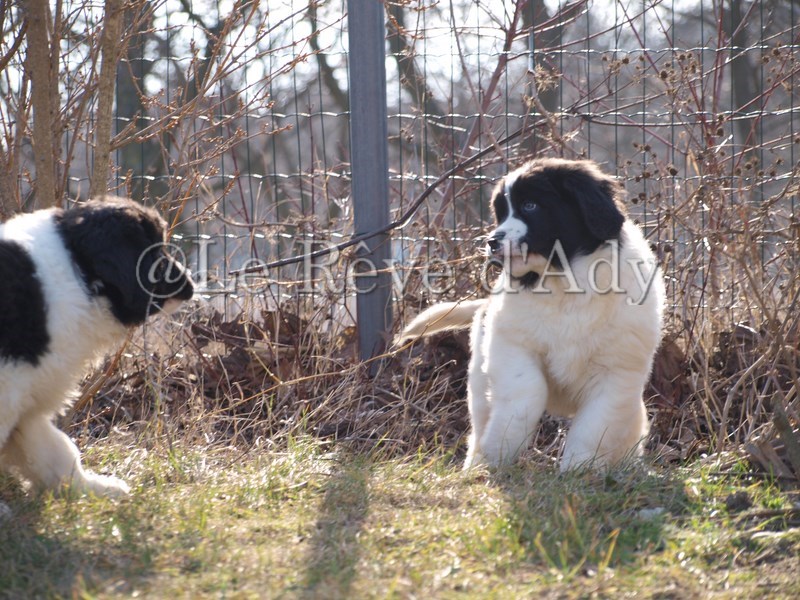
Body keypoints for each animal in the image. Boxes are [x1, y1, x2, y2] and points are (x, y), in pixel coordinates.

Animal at [0, 197, 193, 496]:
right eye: (153, 250)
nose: (190, 283)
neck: (77, 269)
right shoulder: (9, 386)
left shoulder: (29, 392)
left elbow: (56, 449)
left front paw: (92, 487)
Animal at [398, 158, 665, 472]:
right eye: (501, 213)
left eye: (530, 206)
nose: (492, 241)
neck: (565, 283)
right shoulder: (511, 343)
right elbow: (526, 391)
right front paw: (499, 452)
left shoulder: (617, 370)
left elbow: (596, 422)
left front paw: (579, 469)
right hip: (479, 379)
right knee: (480, 420)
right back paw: (475, 464)